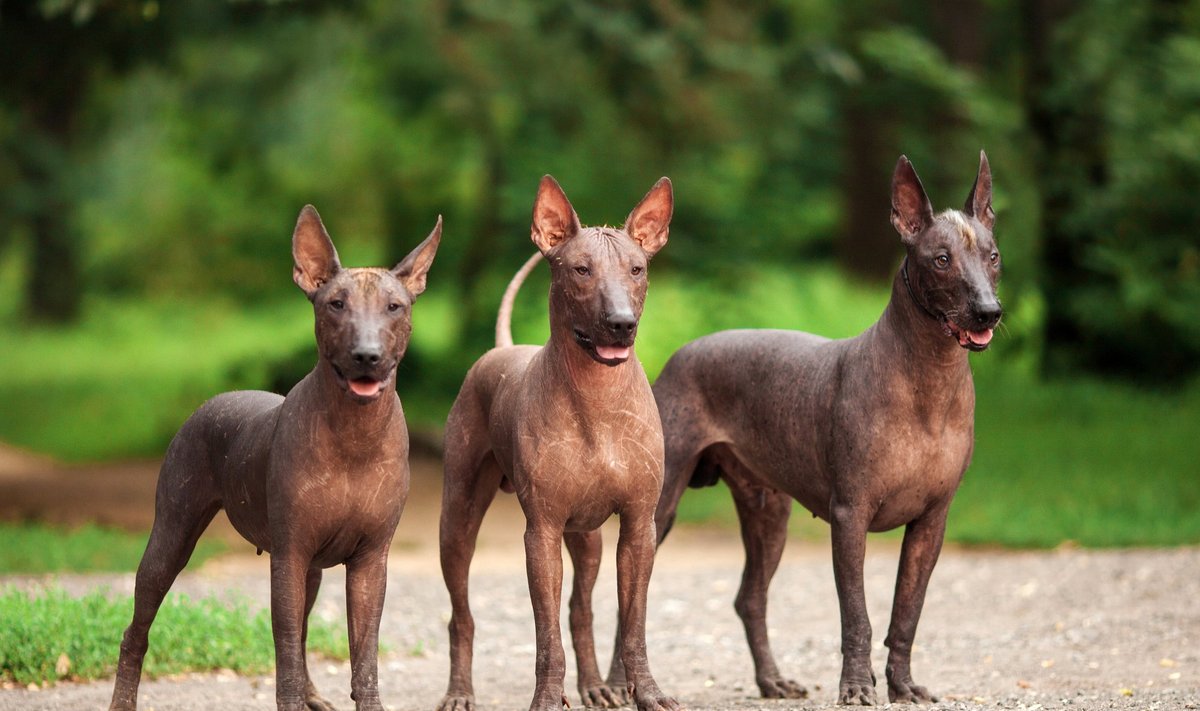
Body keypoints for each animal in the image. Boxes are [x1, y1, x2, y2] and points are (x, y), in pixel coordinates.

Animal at [109, 205, 441, 711]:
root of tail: (213, 401)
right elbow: (284, 649)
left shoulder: (370, 562)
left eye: (394, 307)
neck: (354, 434)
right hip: (171, 538)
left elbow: (363, 657)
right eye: (335, 304)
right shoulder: (289, 556)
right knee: (137, 629)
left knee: (303, 635)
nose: (367, 355)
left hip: (314, 571)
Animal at [439, 175, 686, 711]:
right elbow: (546, 637)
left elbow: (631, 625)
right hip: (458, 522)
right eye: (580, 269)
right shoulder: (542, 534)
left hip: (588, 537)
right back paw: (459, 691)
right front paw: (548, 699)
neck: (598, 400)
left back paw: (594, 686)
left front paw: (647, 692)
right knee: (461, 615)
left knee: (581, 609)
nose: (621, 322)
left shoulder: (640, 527)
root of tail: (503, 347)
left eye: (637, 269)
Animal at [609, 151, 1003, 706]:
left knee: (749, 598)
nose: (989, 312)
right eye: (941, 259)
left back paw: (772, 680)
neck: (929, 379)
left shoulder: (932, 522)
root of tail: (681, 353)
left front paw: (902, 685)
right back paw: (614, 688)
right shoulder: (850, 516)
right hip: (657, 509)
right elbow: (857, 616)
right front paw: (858, 687)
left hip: (769, 514)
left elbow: (907, 614)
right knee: (631, 602)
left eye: (993, 256)